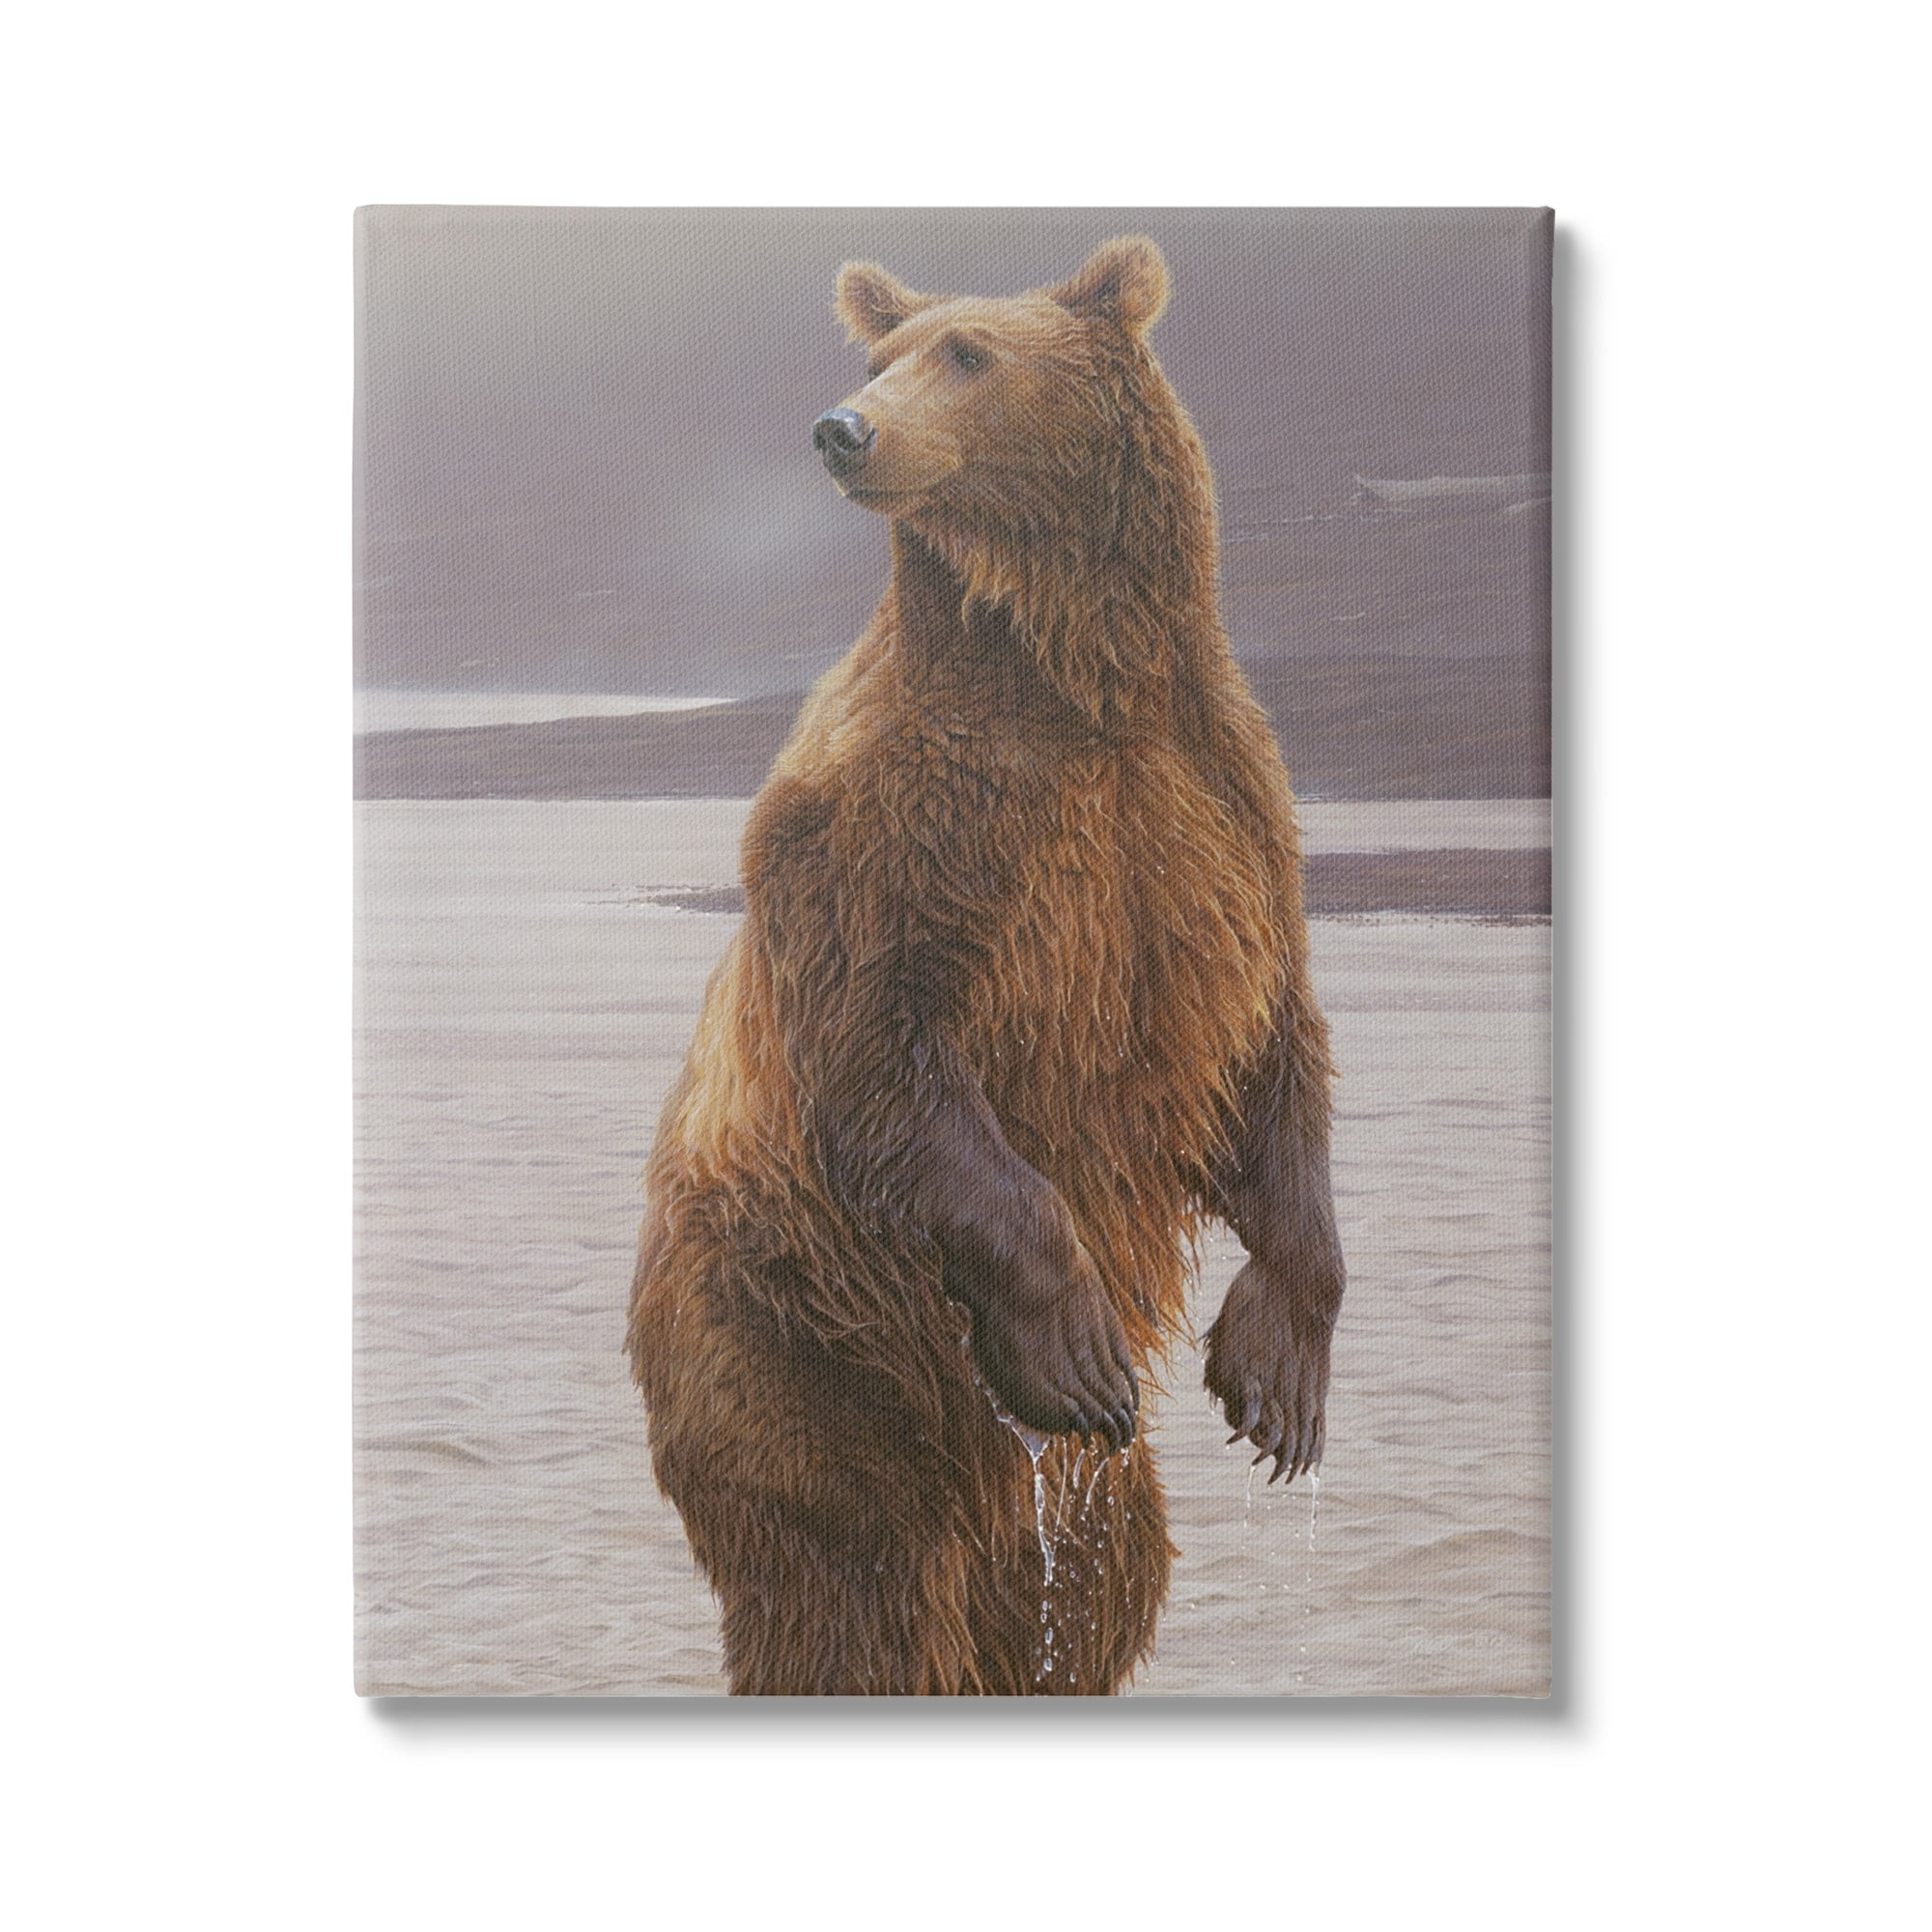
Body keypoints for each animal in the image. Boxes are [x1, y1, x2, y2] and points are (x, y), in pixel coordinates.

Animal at [627, 237, 1345, 1696]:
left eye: (968, 353)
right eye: (878, 356)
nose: (841, 429)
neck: (1069, 672)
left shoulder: (1224, 812)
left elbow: (1270, 1040)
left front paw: (1279, 1373)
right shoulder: (895, 824)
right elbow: (885, 1050)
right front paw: (1073, 1343)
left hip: (1055, 1481)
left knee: (1102, 1578)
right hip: (798, 1339)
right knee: (846, 1588)